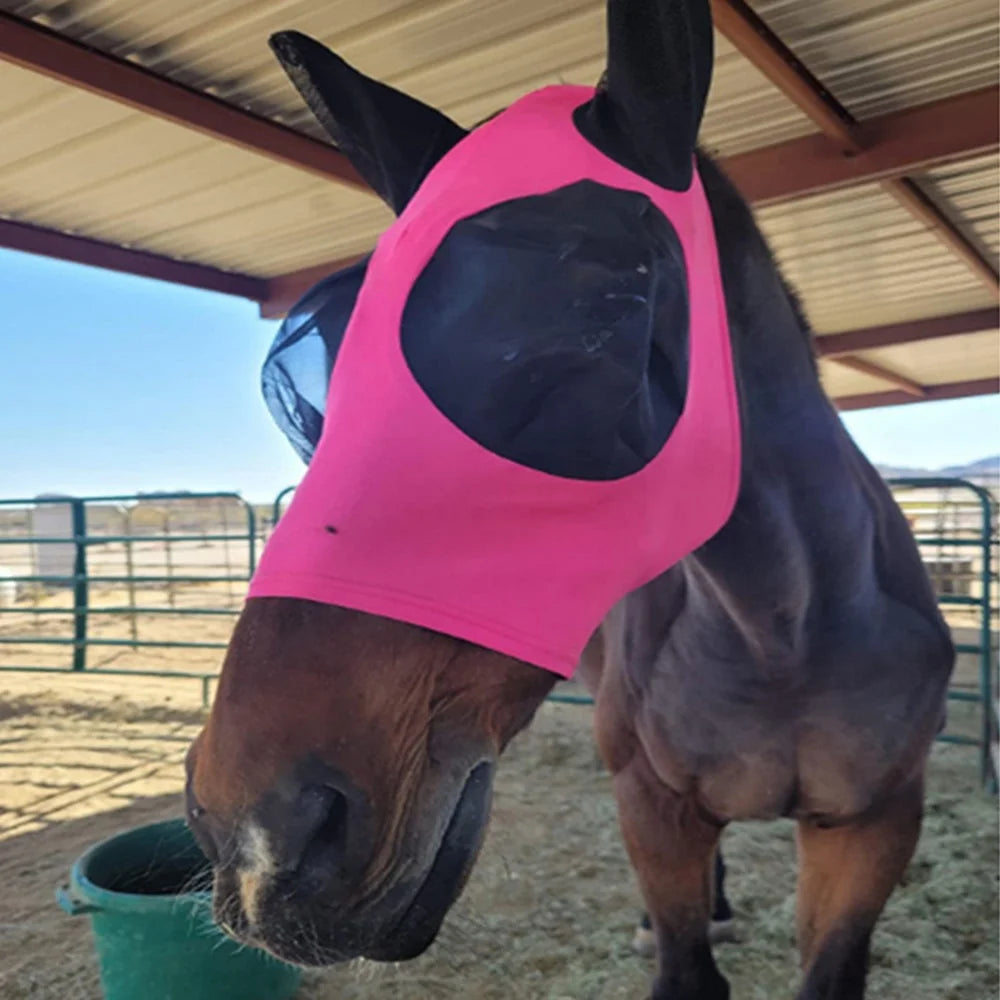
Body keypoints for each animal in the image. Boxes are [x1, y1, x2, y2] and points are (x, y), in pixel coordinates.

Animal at [185, 4, 953, 998]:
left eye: (600, 319)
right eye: (325, 384)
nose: (255, 836)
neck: (783, 629)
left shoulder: (874, 826)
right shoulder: (653, 807)